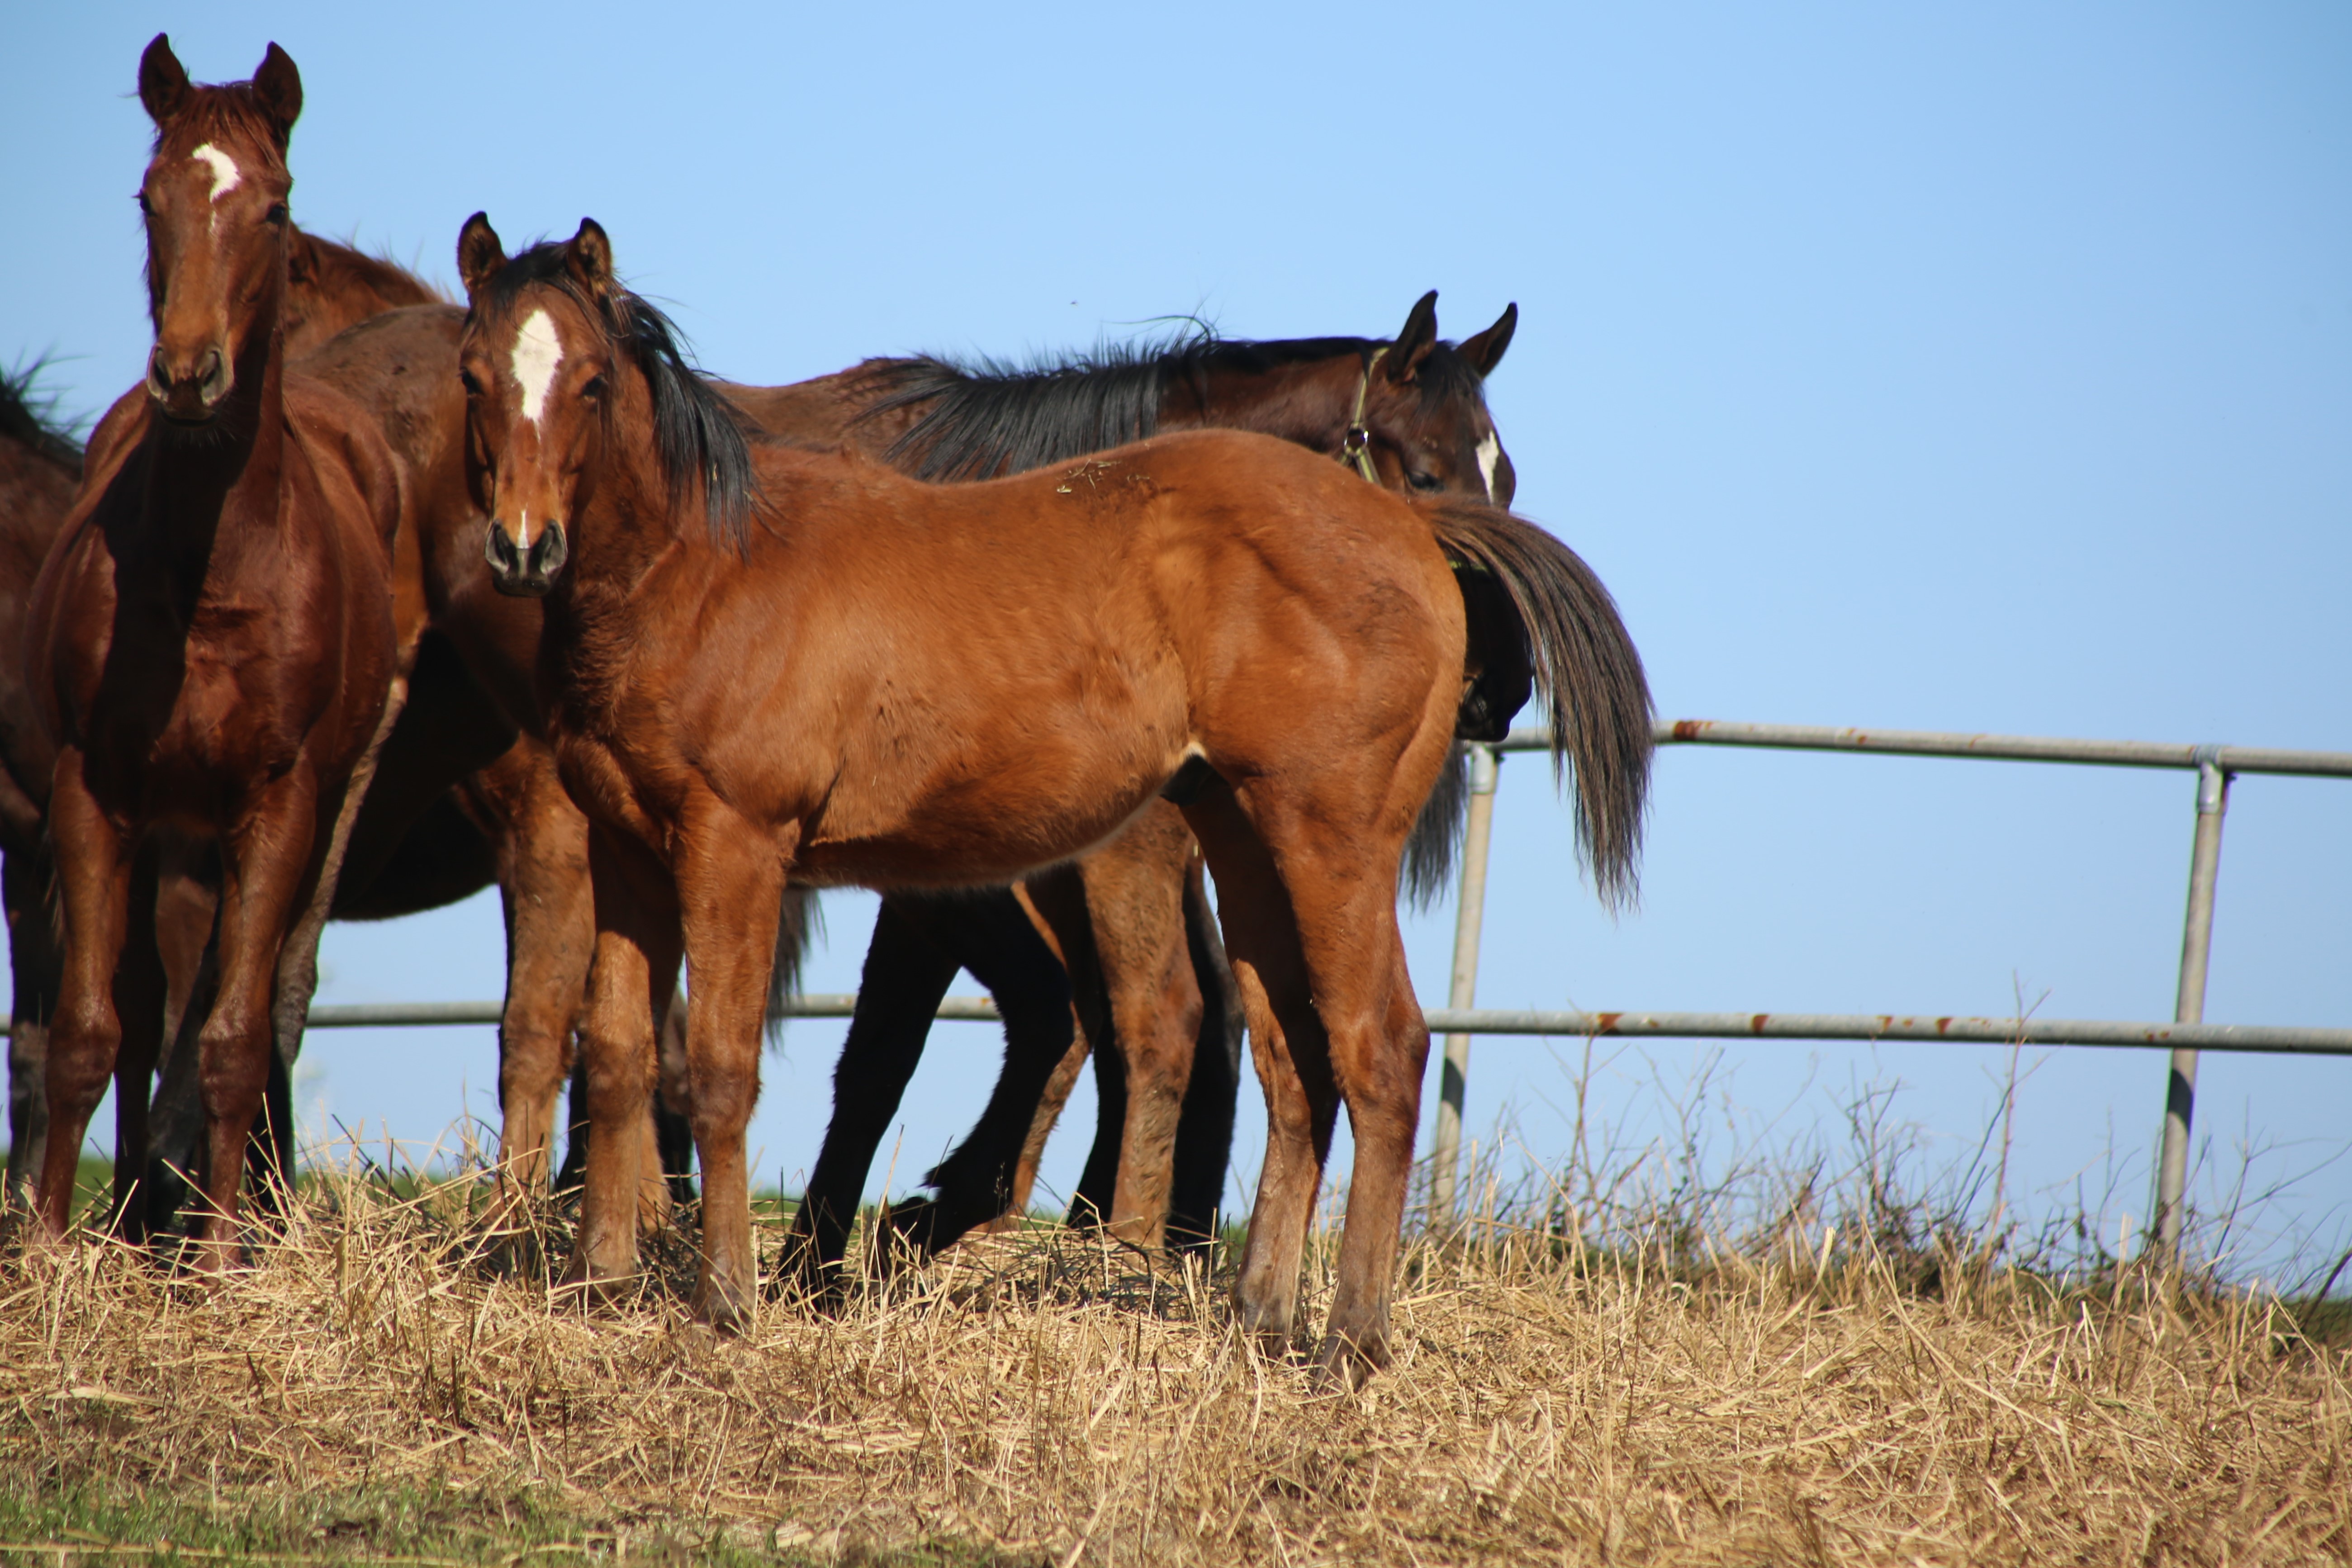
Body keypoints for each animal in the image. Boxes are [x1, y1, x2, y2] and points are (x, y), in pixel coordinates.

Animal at [22, 40, 404, 1260]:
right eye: (150, 199)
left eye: (273, 204)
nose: (189, 373)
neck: (213, 575)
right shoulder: (90, 788)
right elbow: (90, 1030)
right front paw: (51, 1250)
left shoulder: (280, 803)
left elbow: (234, 1038)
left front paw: (226, 1263)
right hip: (165, 828)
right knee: (148, 1012)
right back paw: (140, 1212)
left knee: (252, 997)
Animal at [449, 211, 1646, 1382]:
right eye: (473, 375)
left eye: (590, 383)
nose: (523, 548)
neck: (707, 567)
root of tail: (1407, 540)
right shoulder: (628, 849)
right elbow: (616, 1051)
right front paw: (600, 1284)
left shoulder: (736, 843)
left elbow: (724, 1066)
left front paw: (729, 1301)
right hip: (1244, 837)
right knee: (1290, 1057)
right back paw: (1257, 1319)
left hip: (1329, 841)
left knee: (1378, 1048)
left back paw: (1349, 1340)